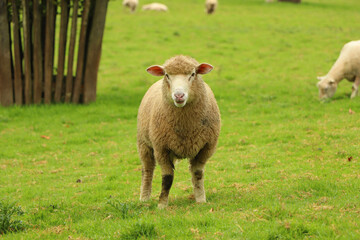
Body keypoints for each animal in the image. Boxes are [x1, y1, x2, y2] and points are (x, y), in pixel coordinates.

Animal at [138, 54, 221, 208]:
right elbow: (167, 178)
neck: (185, 127)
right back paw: (144, 198)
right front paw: (162, 205)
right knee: (147, 170)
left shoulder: (206, 147)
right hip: (143, 143)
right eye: (167, 75)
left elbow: (197, 173)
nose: (179, 96)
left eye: (193, 74)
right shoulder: (161, 149)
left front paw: (201, 199)